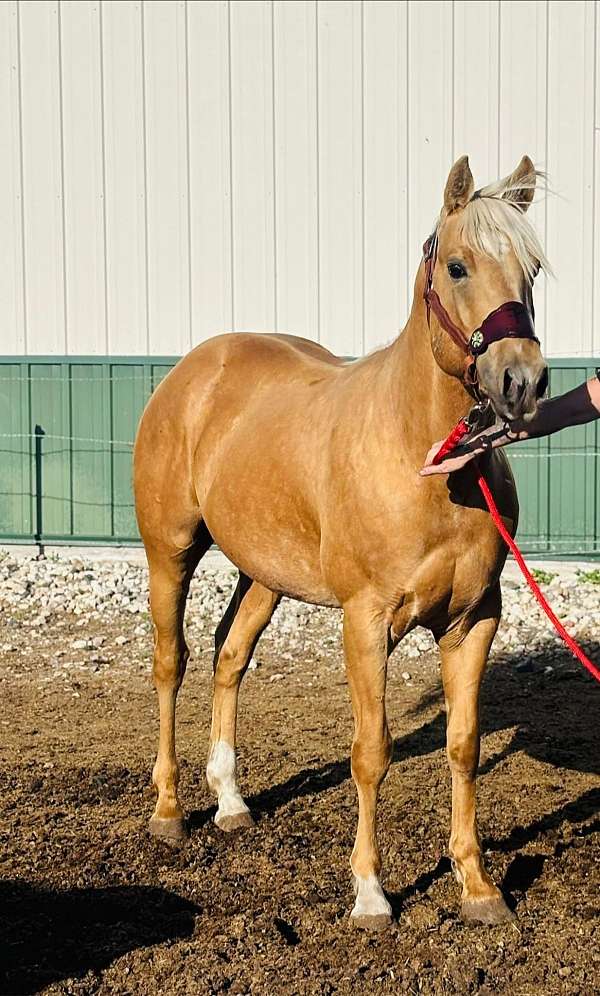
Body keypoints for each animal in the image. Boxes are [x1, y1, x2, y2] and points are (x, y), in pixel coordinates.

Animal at [133, 155, 549, 930]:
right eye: (457, 266)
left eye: (532, 269)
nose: (522, 381)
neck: (425, 460)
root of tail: (194, 369)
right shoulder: (365, 622)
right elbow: (371, 752)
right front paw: (370, 894)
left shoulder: (475, 620)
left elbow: (463, 746)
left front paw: (478, 887)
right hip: (169, 551)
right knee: (172, 664)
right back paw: (170, 810)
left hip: (265, 573)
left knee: (228, 658)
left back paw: (230, 801)